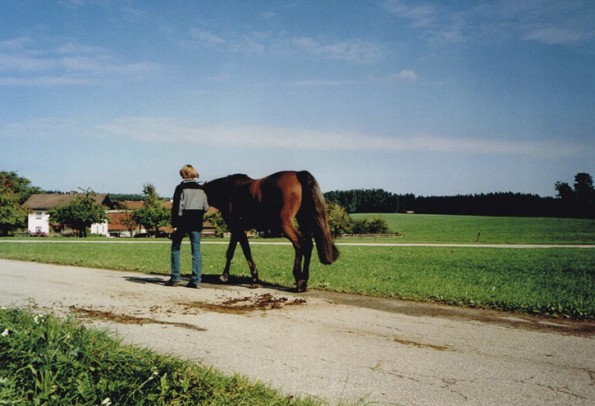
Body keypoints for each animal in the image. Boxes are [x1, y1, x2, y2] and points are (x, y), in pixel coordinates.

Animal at [204, 170, 338, 290]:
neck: (228, 189)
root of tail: (297, 174)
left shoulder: (237, 228)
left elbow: (244, 251)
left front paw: (252, 278)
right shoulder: (238, 229)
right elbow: (232, 251)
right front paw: (226, 275)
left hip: (285, 223)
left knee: (299, 243)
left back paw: (299, 280)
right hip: (303, 220)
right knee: (309, 245)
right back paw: (304, 280)